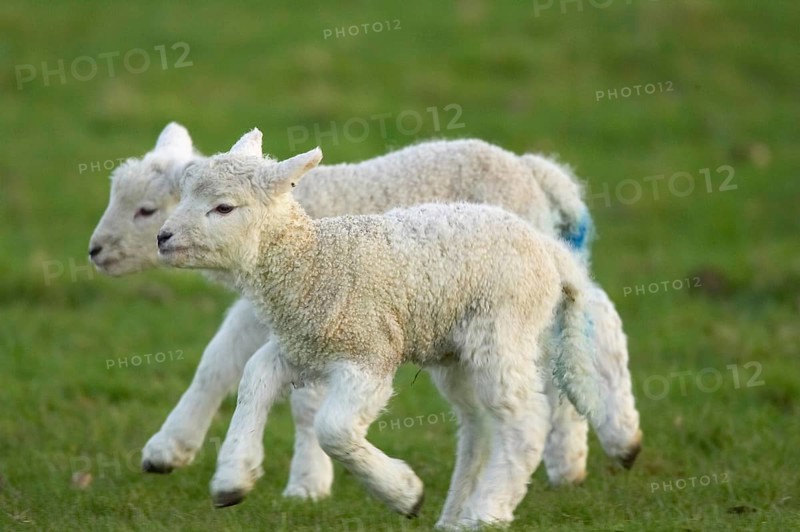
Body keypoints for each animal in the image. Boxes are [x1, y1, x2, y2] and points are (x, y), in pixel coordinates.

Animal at [88, 123, 640, 498]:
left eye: (145, 210)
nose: (94, 251)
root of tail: (531, 168)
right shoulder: (273, 307)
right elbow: (218, 362)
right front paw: (169, 449)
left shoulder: (329, 306)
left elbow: (305, 399)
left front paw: (309, 482)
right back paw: (574, 456)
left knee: (597, 320)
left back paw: (612, 439)